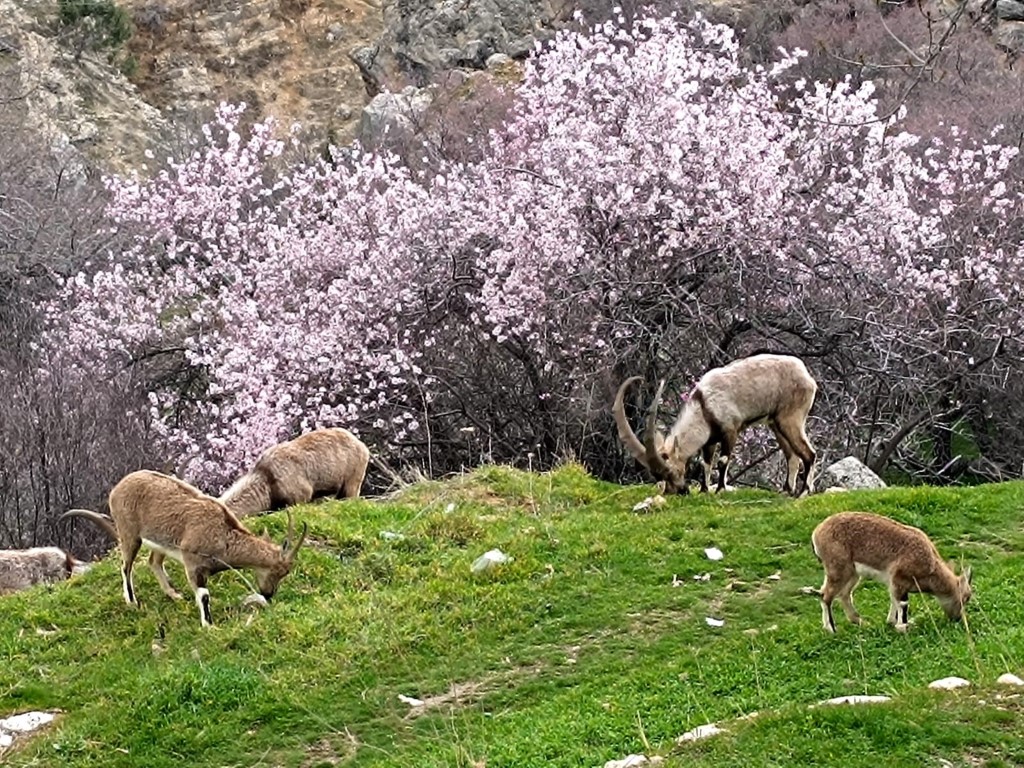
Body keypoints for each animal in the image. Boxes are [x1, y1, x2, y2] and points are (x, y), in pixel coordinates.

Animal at [60, 473, 305, 626]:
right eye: (277, 571)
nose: (268, 594)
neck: (223, 534)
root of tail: (118, 487)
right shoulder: (192, 562)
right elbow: (204, 595)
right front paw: (209, 625)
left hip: (161, 542)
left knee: (153, 561)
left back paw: (173, 594)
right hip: (129, 534)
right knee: (126, 566)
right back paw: (132, 601)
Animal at [610, 356, 819, 499]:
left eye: (672, 471)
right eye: (657, 476)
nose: (680, 491)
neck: (704, 406)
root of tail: (807, 377)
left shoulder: (730, 431)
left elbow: (723, 460)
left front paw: (720, 490)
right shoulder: (709, 441)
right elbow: (706, 463)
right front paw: (704, 490)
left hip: (791, 419)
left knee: (809, 453)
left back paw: (803, 492)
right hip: (776, 424)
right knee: (792, 456)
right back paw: (786, 490)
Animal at [811, 514, 970, 634]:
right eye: (966, 598)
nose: (957, 618)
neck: (929, 565)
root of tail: (817, 533)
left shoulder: (894, 584)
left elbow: (894, 600)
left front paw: (892, 622)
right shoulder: (900, 579)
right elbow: (903, 604)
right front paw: (903, 627)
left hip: (852, 574)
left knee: (843, 595)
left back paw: (861, 622)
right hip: (838, 569)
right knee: (826, 596)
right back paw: (831, 629)